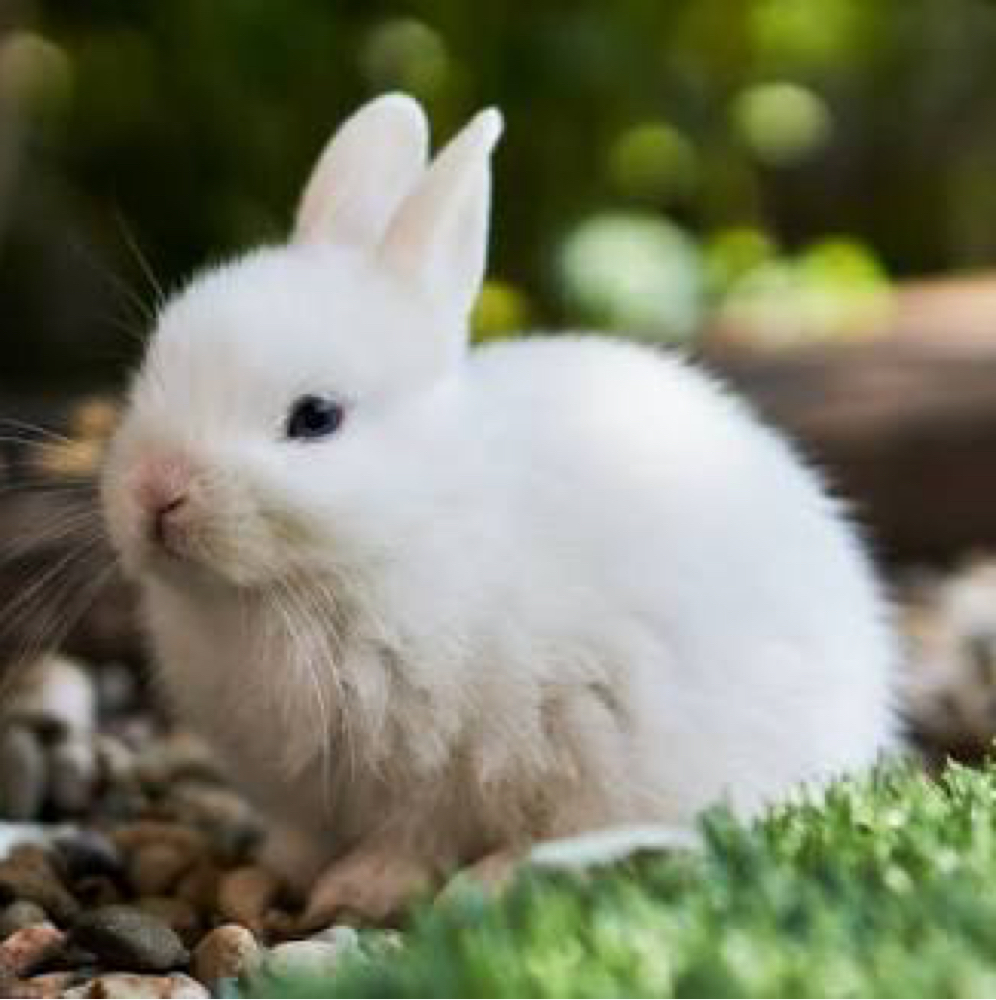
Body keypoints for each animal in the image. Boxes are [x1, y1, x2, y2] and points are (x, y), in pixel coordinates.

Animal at [100, 93, 899, 925]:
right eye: (153, 368)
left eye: (316, 418)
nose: (156, 491)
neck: (404, 528)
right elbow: (302, 836)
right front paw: (272, 872)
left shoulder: (447, 768)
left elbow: (415, 837)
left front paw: (359, 889)